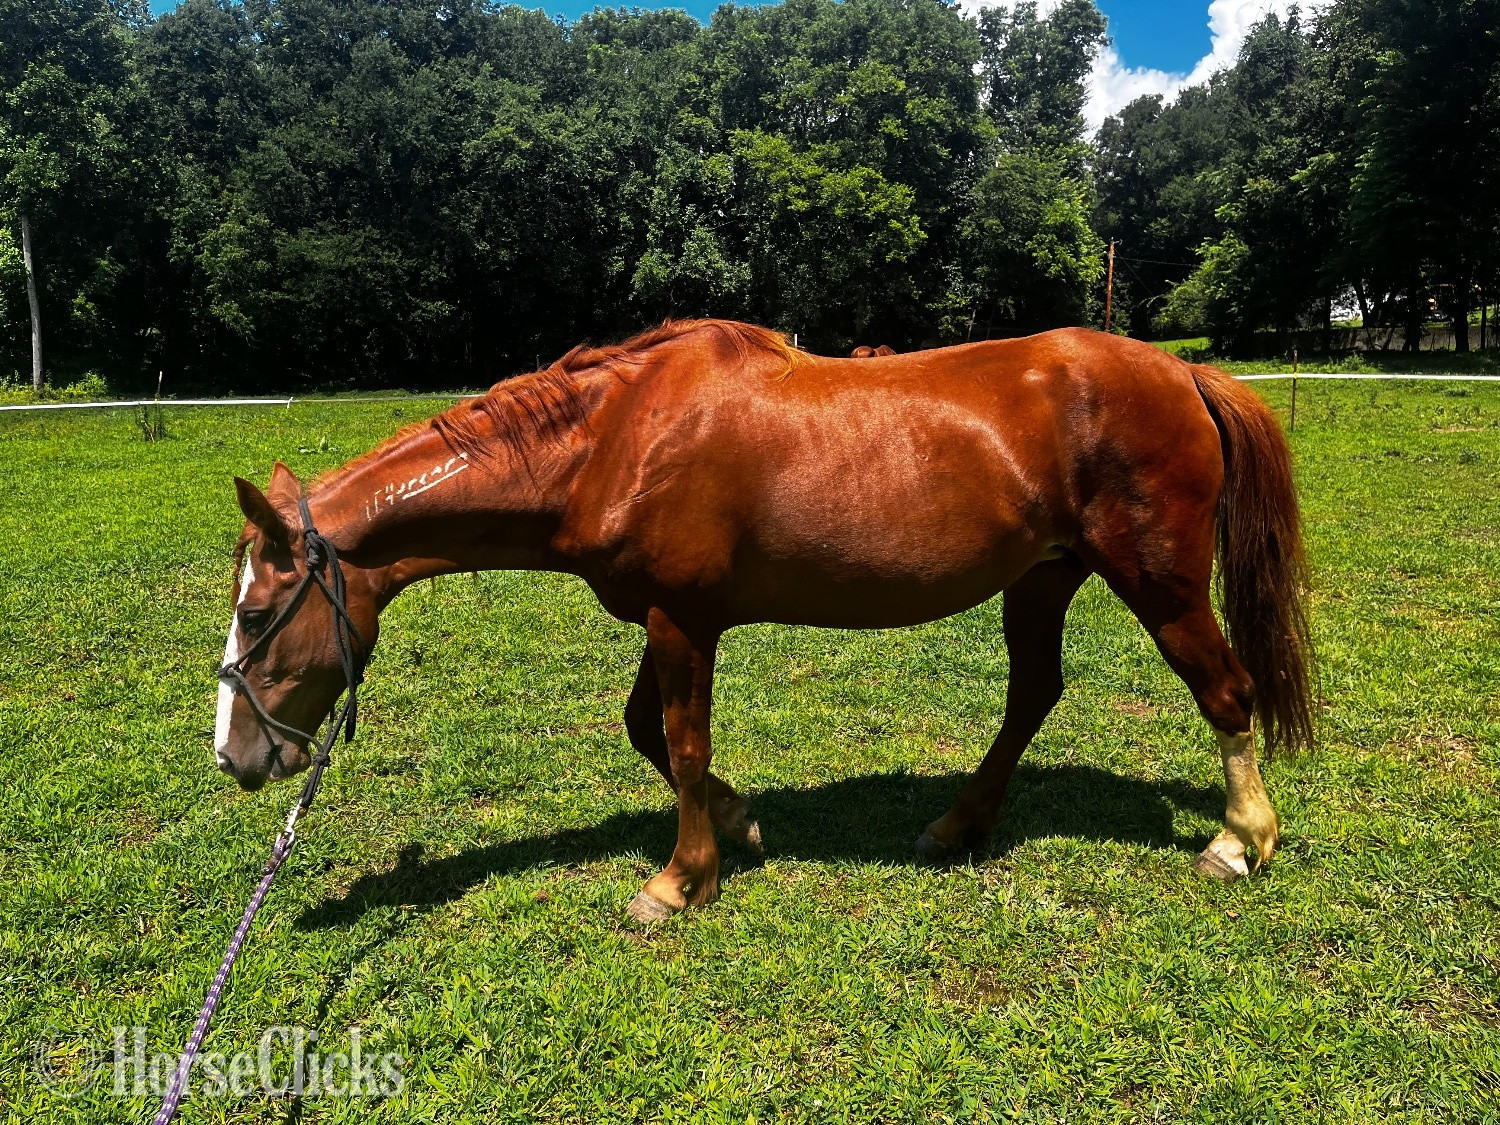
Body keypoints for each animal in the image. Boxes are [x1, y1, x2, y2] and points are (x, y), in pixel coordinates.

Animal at [215, 318, 1312, 921]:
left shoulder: (681, 621)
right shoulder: (666, 616)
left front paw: (677, 883)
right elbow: (646, 733)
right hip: (1044, 579)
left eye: (262, 613)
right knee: (1035, 693)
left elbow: (682, 741)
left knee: (1226, 691)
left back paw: (1238, 840)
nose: (238, 757)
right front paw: (739, 823)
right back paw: (959, 823)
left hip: (1159, 582)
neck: (614, 438)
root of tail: (1182, 372)